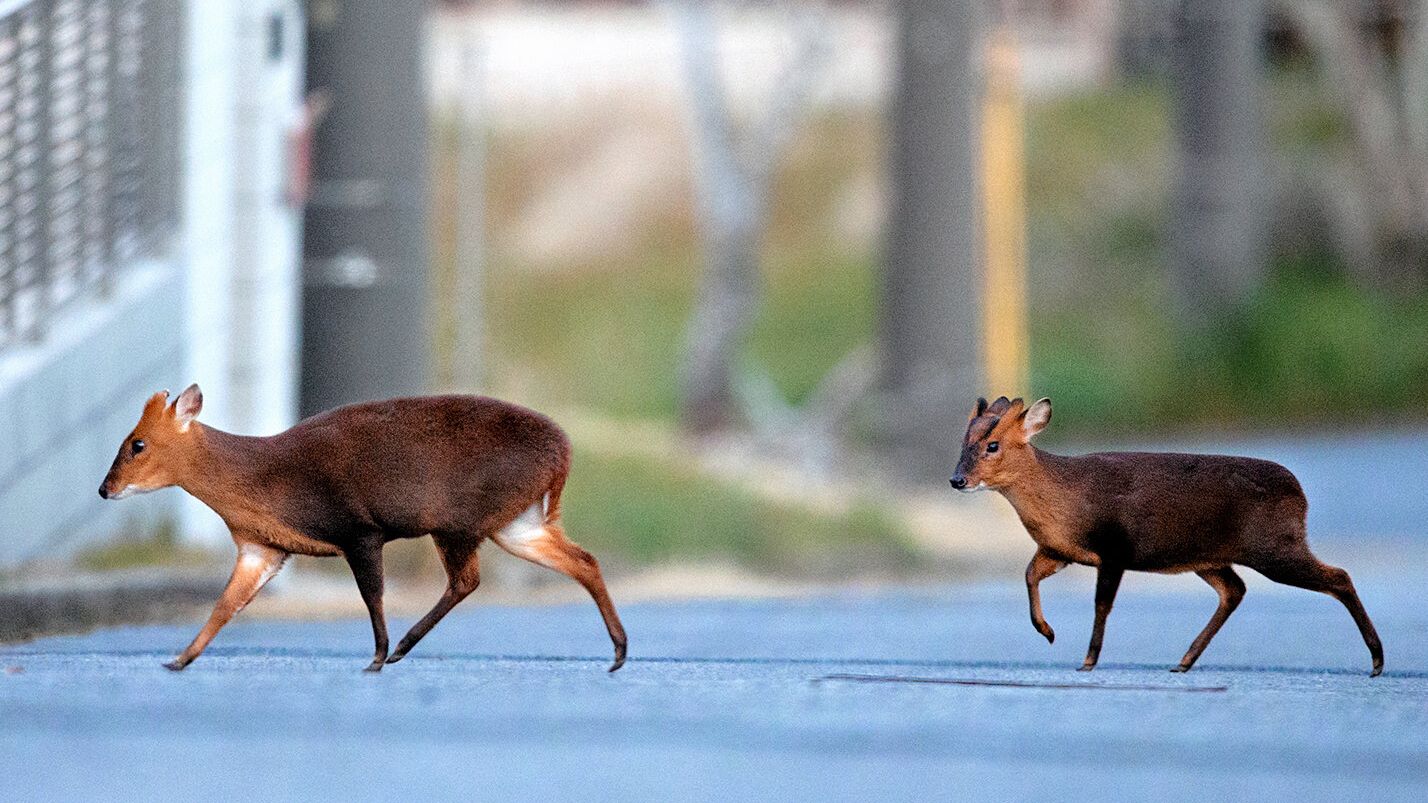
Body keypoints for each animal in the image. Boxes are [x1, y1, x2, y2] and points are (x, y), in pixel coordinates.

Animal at [92, 385, 622, 671]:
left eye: (137, 444)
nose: (103, 489)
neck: (259, 477)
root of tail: (563, 453)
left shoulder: (359, 530)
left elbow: (372, 595)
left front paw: (376, 656)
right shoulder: (261, 549)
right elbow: (225, 605)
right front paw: (180, 659)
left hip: (459, 520)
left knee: (467, 580)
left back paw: (399, 650)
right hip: (516, 522)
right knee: (583, 560)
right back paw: (618, 651)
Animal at [948, 394, 1382, 674]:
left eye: (992, 445)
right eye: (963, 442)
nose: (957, 480)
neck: (1065, 499)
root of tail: (1301, 496)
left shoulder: (1115, 546)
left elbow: (1101, 604)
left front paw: (1088, 660)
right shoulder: (1059, 549)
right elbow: (1029, 575)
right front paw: (1048, 632)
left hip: (1275, 546)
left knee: (1339, 576)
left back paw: (1377, 660)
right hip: (1212, 557)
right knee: (1235, 590)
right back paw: (1184, 661)